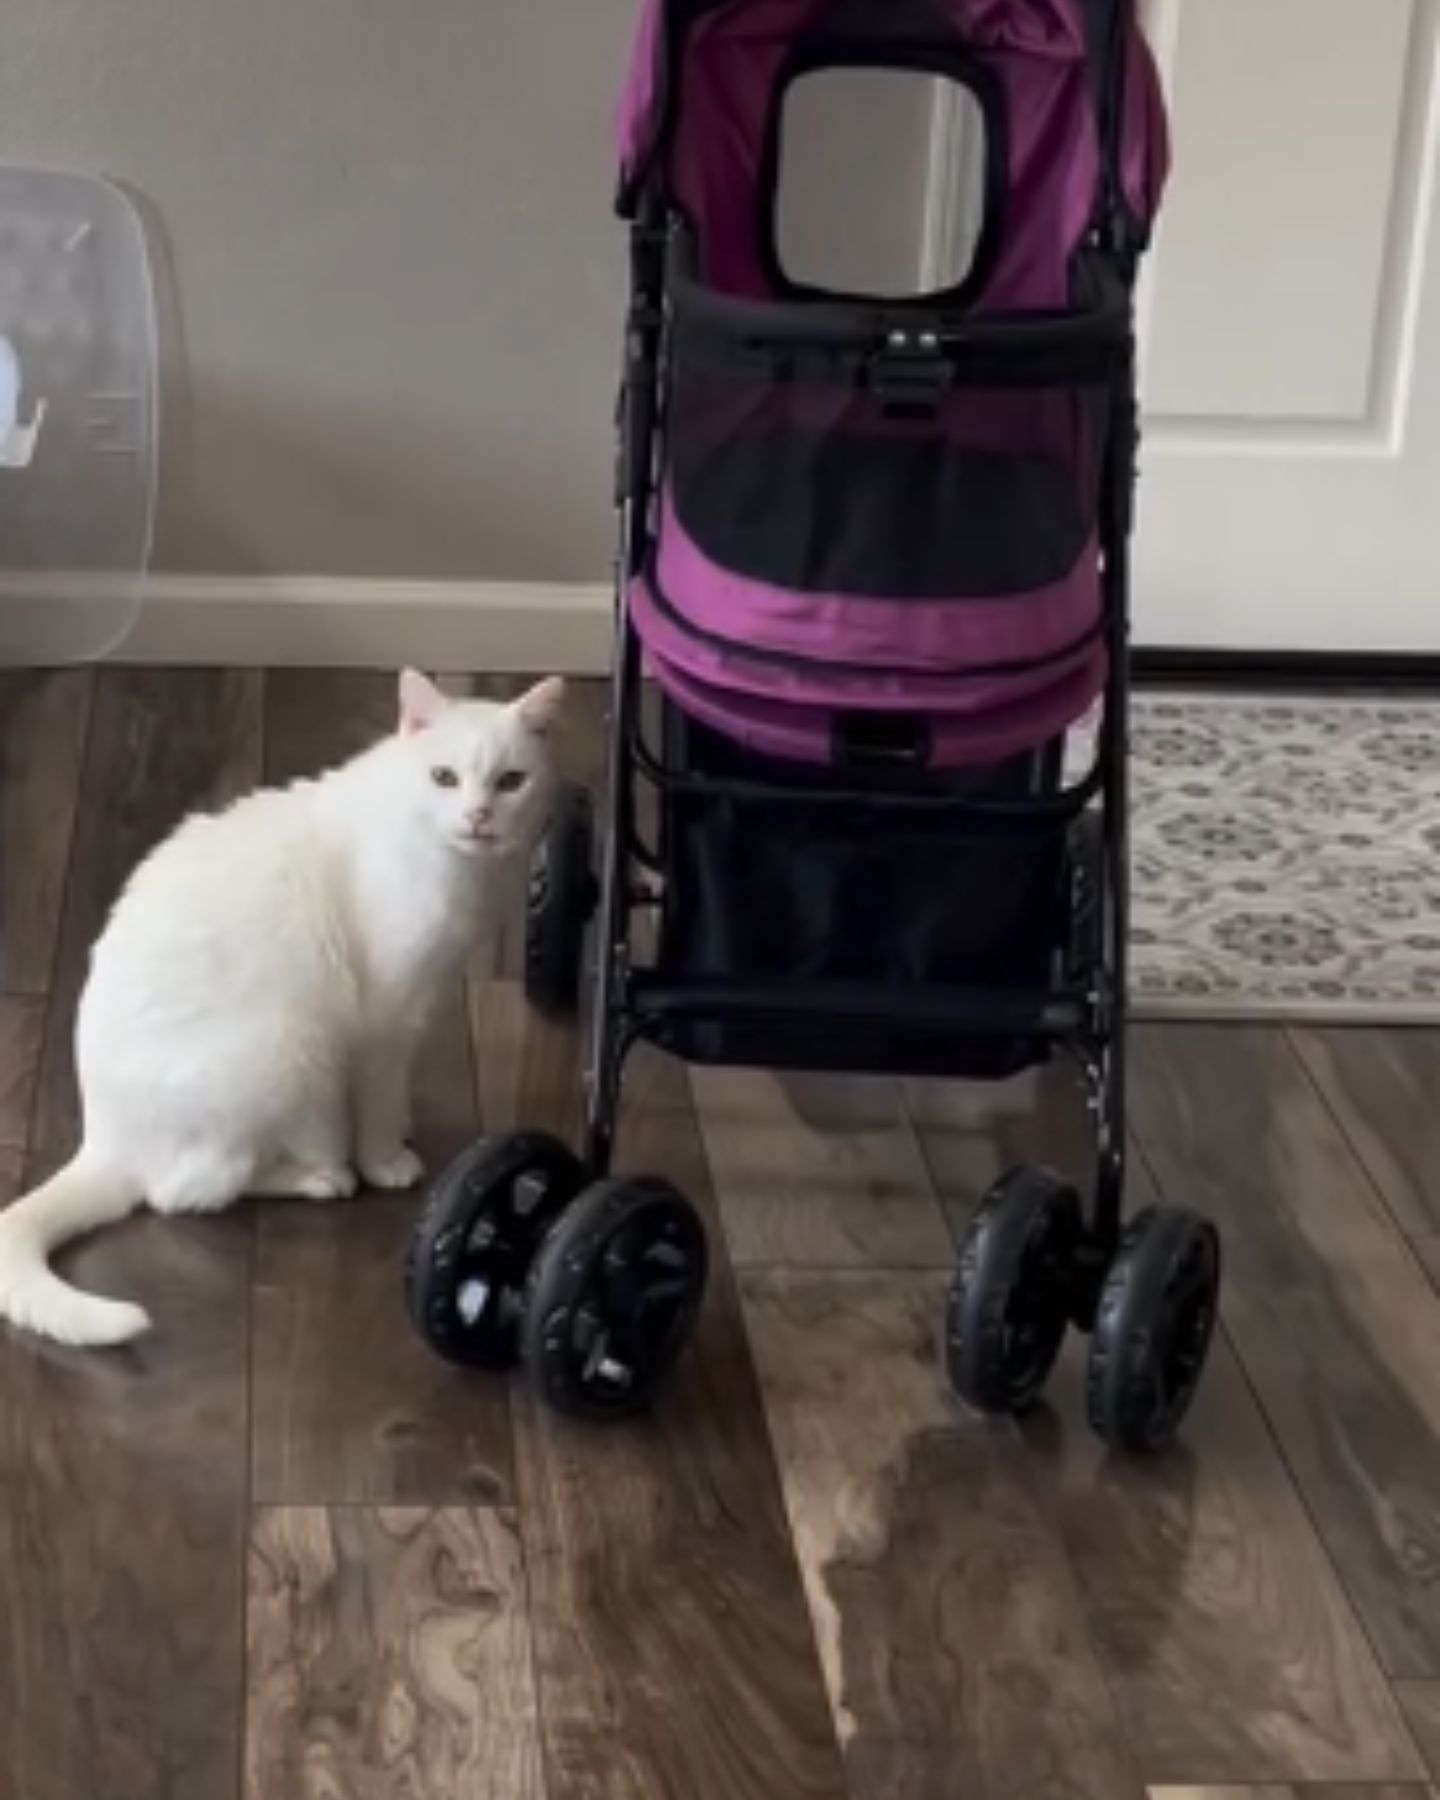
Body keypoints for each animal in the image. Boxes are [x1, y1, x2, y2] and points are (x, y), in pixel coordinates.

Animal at [0, 669, 561, 1346]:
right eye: (444, 777)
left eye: (511, 781)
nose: (479, 816)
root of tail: (102, 1135)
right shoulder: (384, 1019)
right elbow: (379, 1101)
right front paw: (384, 1159)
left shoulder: (413, 1011)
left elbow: (391, 1094)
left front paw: (398, 1126)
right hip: (293, 1052)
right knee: (187, 1192)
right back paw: (320, 1176)